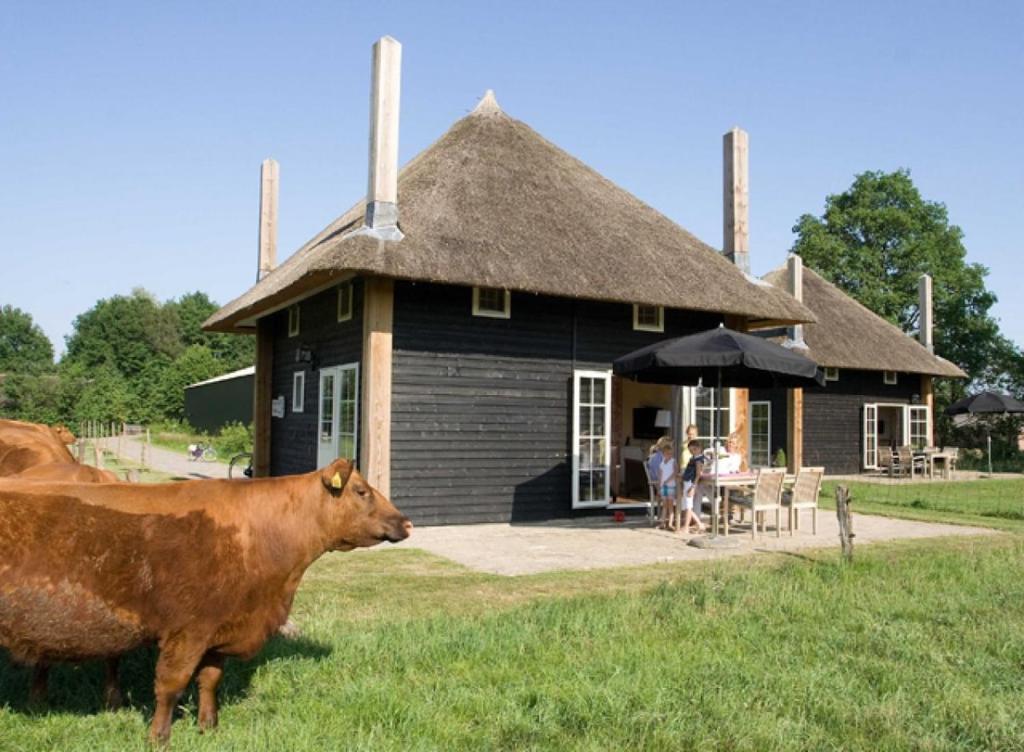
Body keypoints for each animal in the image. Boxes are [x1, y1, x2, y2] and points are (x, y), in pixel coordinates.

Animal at [0, 458, 411, 743]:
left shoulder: (218, 628)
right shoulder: (187, 630)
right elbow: (170, 685)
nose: (406, 522)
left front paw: (208, 728)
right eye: (362, 491)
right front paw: (159, 738)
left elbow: (210, 680)